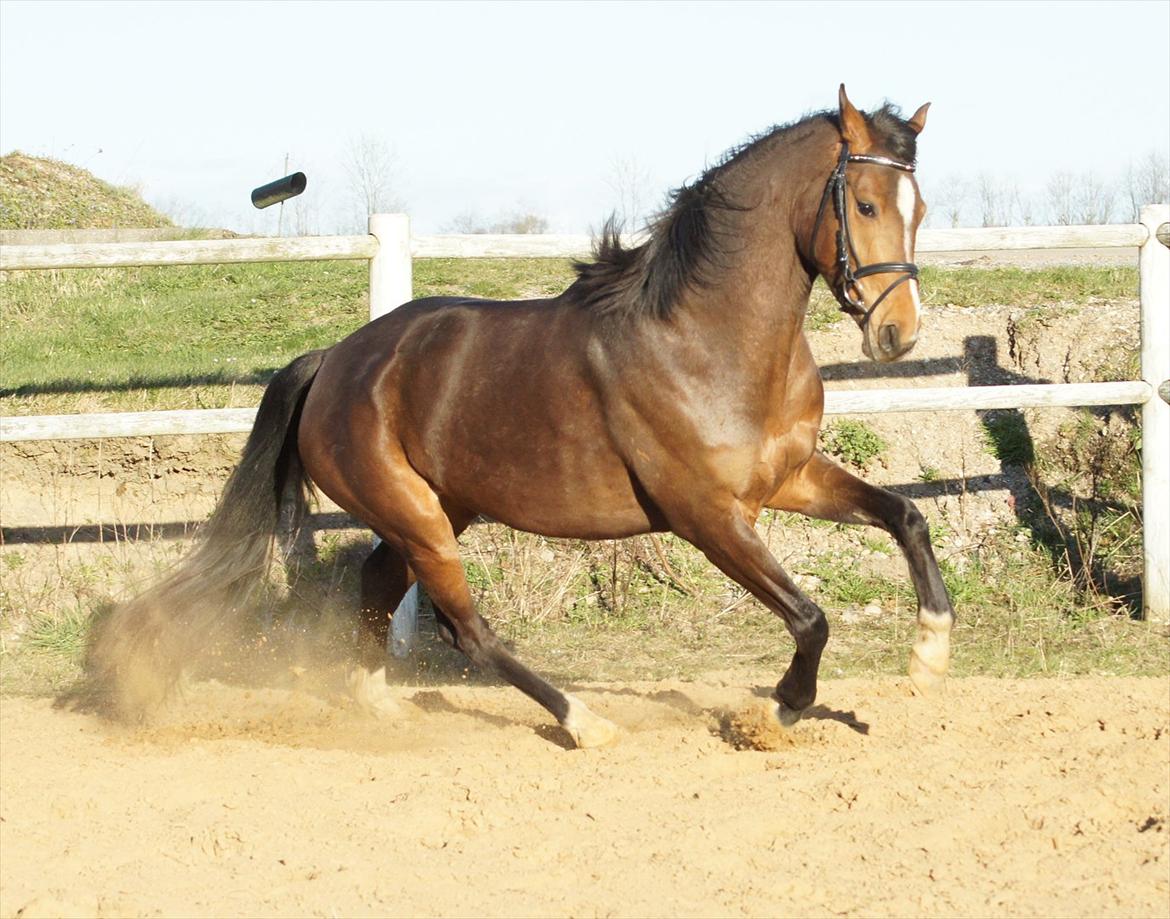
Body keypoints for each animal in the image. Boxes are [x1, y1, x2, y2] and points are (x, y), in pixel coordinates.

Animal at [86, 86, 954, 744]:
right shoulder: (707, 516)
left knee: (377, 582)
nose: (898, 333)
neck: (709, 339)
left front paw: (929, 654)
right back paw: (583, 721)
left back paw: (378, 701)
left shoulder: (788, 478)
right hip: (417, 517)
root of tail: (333, 361)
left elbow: (905, 515)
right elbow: (810, 617)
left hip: (437, 510)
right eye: (865, 203)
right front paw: (774, 711)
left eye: (921, 209)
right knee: (465, 630)